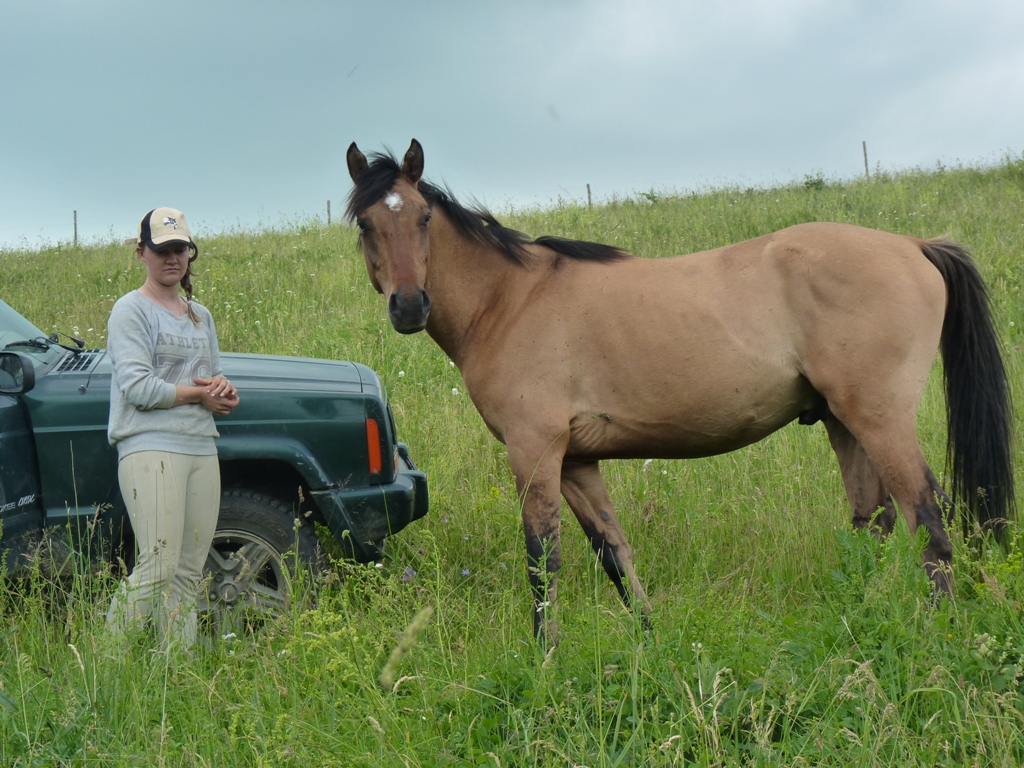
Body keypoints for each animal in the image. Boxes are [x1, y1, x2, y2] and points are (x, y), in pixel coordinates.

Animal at [346, 138, 1015, 643]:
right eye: (367, 225)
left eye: (423, 217)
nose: (409, 306)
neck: (511, 300)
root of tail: (913, 245)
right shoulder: (578, 461)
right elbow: (614, 554)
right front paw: (651, 640)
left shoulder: (535, 451)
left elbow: (543, 559)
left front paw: (544, 659)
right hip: (842, 421)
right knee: (871, 522)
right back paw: (859, 620)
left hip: (879, 418)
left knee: (928, 521)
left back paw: (938, 637)